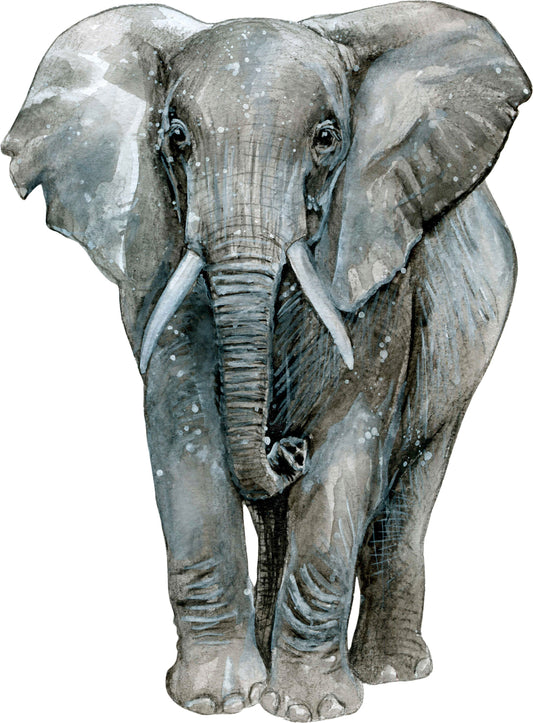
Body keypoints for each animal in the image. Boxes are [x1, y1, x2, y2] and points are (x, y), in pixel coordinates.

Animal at [2, 1, 530, 719]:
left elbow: (350, 439)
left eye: (328, 139)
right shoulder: (158, 252)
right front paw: (220, 698)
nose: (286, 448)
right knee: (279, 517)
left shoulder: (384, 272)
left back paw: (393, 673)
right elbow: (184, 426)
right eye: (175, 139)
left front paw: (310, 706)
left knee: (409, 489)